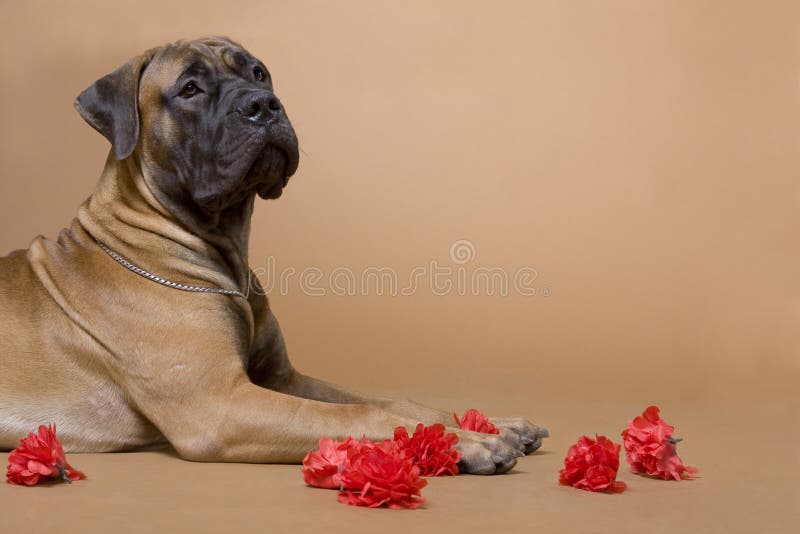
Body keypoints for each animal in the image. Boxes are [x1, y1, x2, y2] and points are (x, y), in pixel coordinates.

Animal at [0, 35, 548, 476]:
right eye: (189, 89)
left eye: (258, 72)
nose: (263, 105)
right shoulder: (219, 404)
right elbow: (358, 414)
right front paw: (466, 442)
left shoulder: (282, 379)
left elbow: (393, 400)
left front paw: (488, 423)